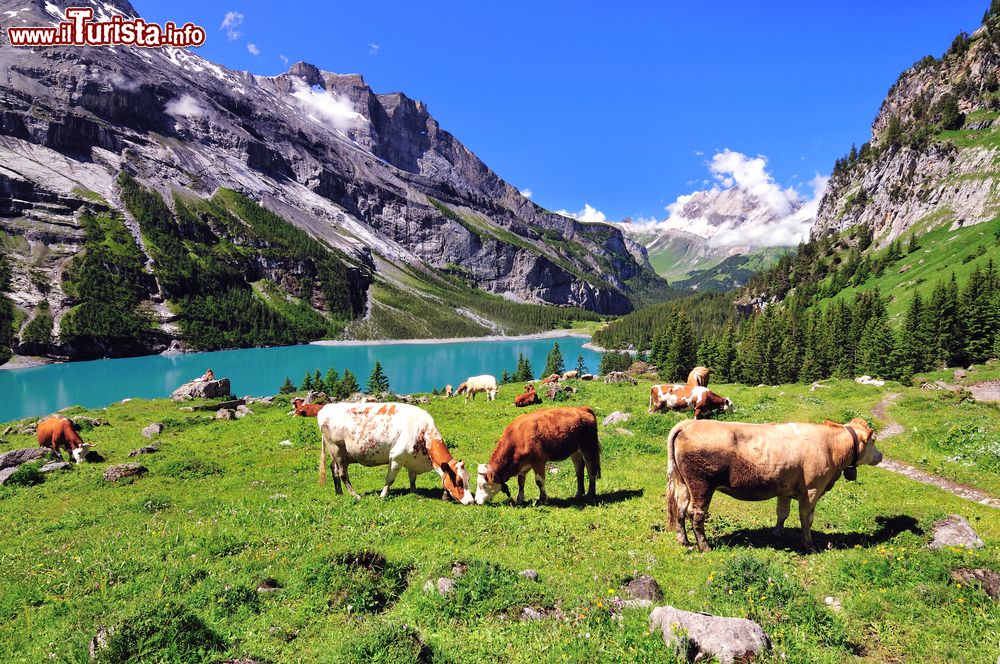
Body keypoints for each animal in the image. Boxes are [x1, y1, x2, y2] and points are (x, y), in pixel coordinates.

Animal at [320, 400, 476, 504]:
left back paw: (339, 493)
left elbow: (412, 478)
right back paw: (355, 495)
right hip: (337, 449)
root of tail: (325, 408)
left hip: (338, 454)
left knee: (333, 468)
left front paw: (414, 492)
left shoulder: (412, 459)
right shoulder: (396, 457)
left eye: (468, 479)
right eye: (459, 482)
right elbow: (390, 479)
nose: (471, 501)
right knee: (342, 473)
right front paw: (383, 495)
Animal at [668, 418, 880, 552]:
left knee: (680, 509)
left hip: (683, 483)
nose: (880, 455)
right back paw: (704, 547)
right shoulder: (812, 491)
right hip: (701, 485)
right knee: (696, 514)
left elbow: (782, 512)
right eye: (873, 440)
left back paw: (684, 541)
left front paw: (777, 533)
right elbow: (806, 520)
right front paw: (809, 545)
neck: (829, 447)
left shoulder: (785, 489)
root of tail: (690, 423)